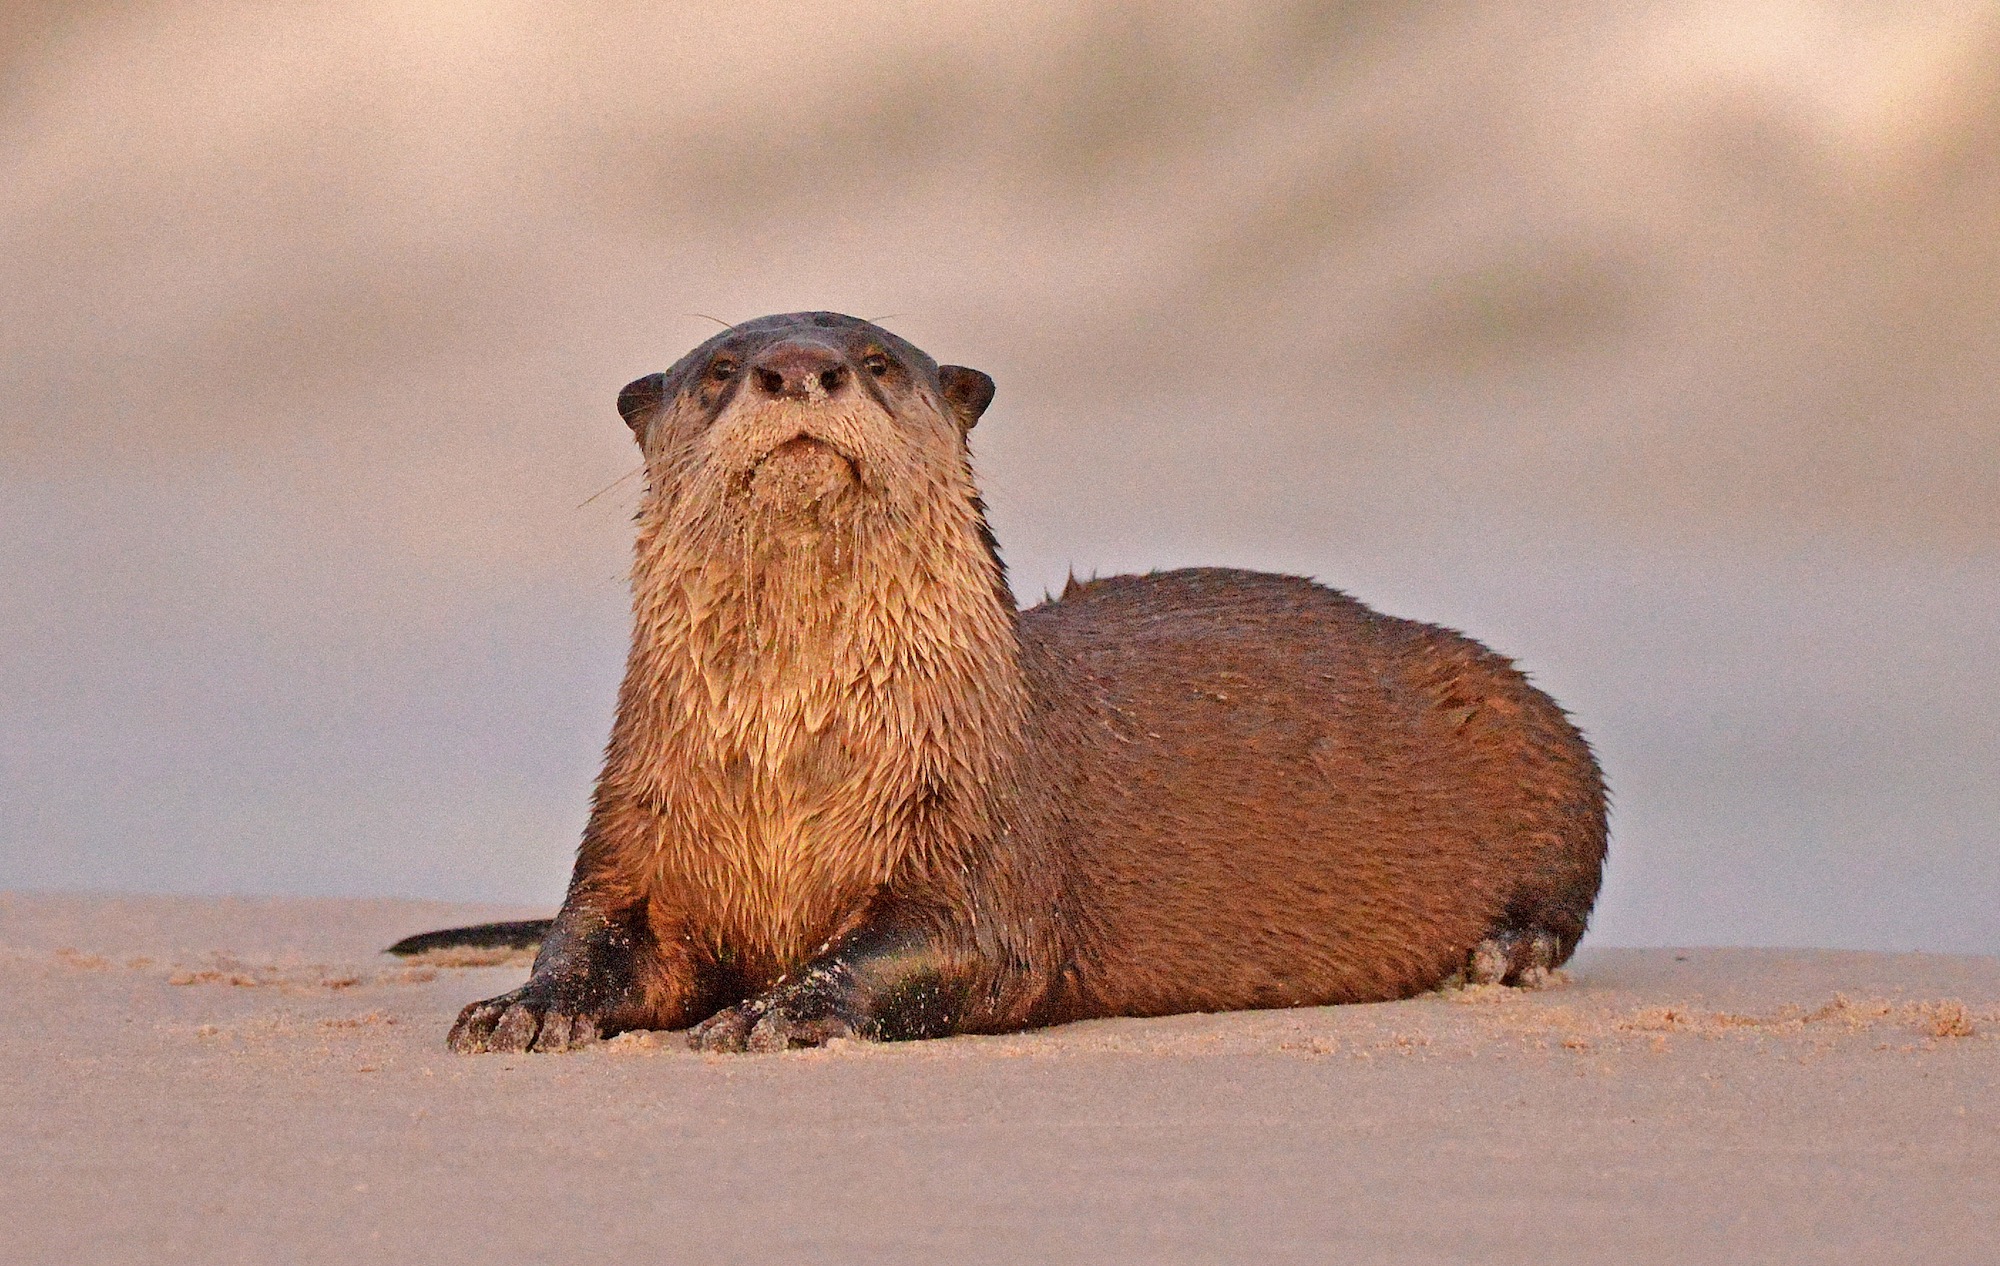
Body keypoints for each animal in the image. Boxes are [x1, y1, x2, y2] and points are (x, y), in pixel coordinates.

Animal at [426, 312, 1608, 1048]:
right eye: (717, 371)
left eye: (875, 359)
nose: (796, 367)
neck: (791, 769)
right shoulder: (637, 824)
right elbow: (596, 934)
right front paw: (526, 1006)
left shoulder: (982, 838)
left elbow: (947, 947)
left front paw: (777, 1009)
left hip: (1528, 724)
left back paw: (1501, 952)